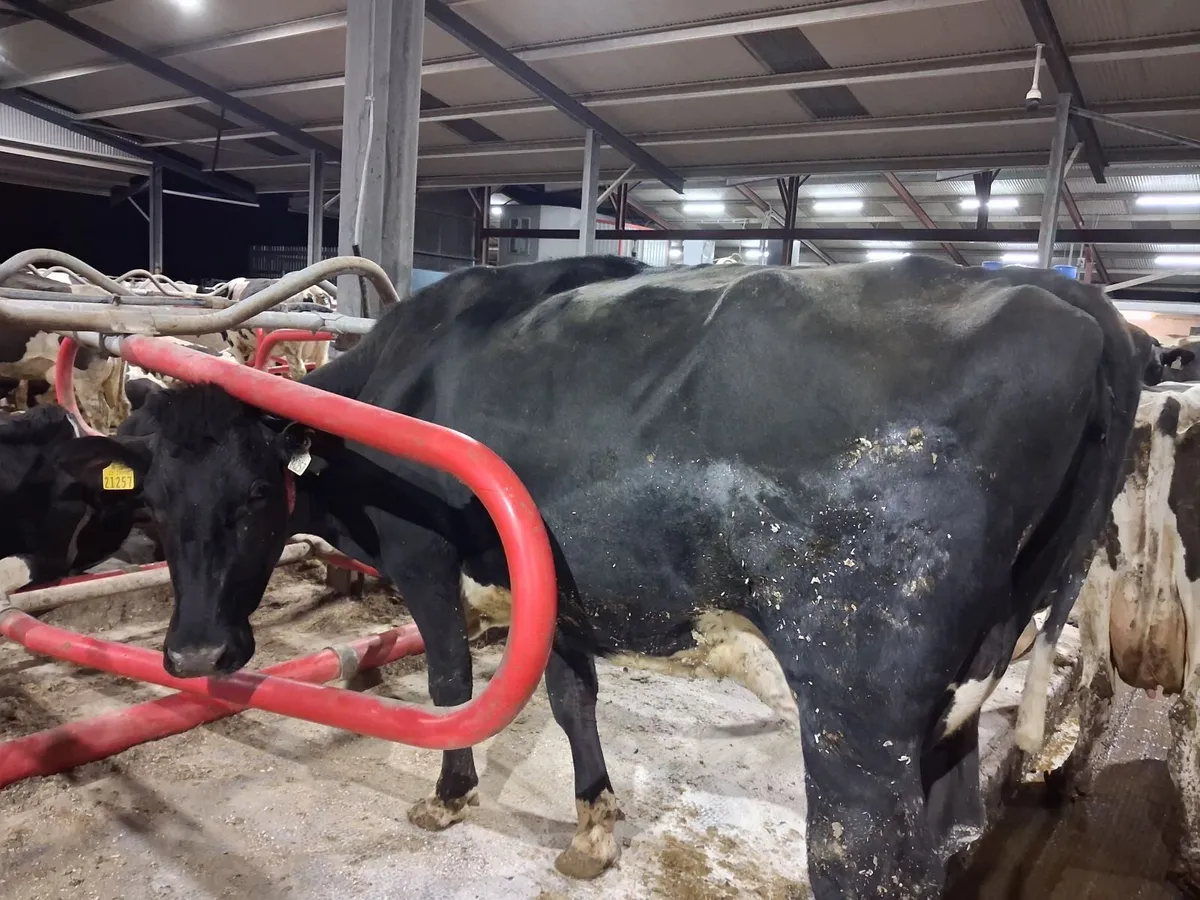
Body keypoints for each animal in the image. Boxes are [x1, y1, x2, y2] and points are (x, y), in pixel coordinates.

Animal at [46, 255, 1144, 899]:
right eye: (153, 505)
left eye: (250, 498)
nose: (194, 653)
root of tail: (1077, 299)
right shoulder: (565, 588)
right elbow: (572, 697)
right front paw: (593, 827)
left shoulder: (426, 560)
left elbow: (452, 684)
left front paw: (449, 793)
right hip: (955, 696)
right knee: (949, 836)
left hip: (856, 711)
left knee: (865, 860)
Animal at [1047, 383, 1200, 893]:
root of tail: (1170, 405)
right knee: (1189, 718)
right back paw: (1191, 859)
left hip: (1095, 575)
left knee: (1096, 687)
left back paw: (1068, 780)